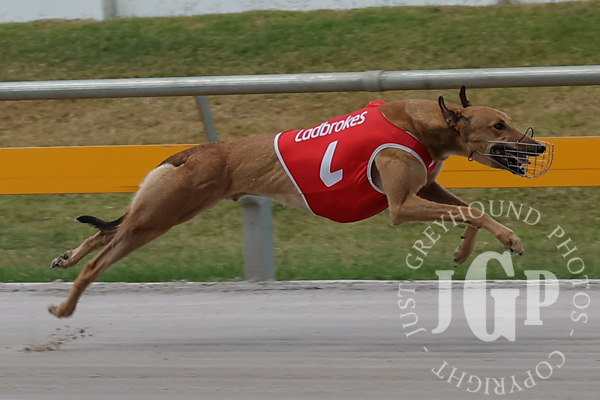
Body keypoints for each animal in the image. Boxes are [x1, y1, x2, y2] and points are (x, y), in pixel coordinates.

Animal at [48, 87, 553, 318]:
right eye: (498, 125)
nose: (539, 147)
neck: (419, 123)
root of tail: (192, 152)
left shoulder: (424, 189)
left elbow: (469, 209)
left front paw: (463, 251)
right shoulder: (400, 205)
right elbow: (475, 209)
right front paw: (510, 239)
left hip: (157, 212)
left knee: (106, 230)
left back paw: (66, 257)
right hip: (161, 215)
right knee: (100, 260)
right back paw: (65, 307)